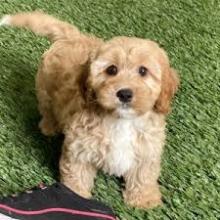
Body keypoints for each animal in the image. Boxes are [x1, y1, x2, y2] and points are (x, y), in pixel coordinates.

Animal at [0, 11, 179, 208]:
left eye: (143, 71)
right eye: (111, 69)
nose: (124, 93)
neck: (121, 120)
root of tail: (73, 36)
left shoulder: (148, 148)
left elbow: (143, 174)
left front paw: (144, 200)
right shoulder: (79, 146)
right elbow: (77, 172)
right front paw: (74, 194)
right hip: (44, 87)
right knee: (47, 107)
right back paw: (49, 126)